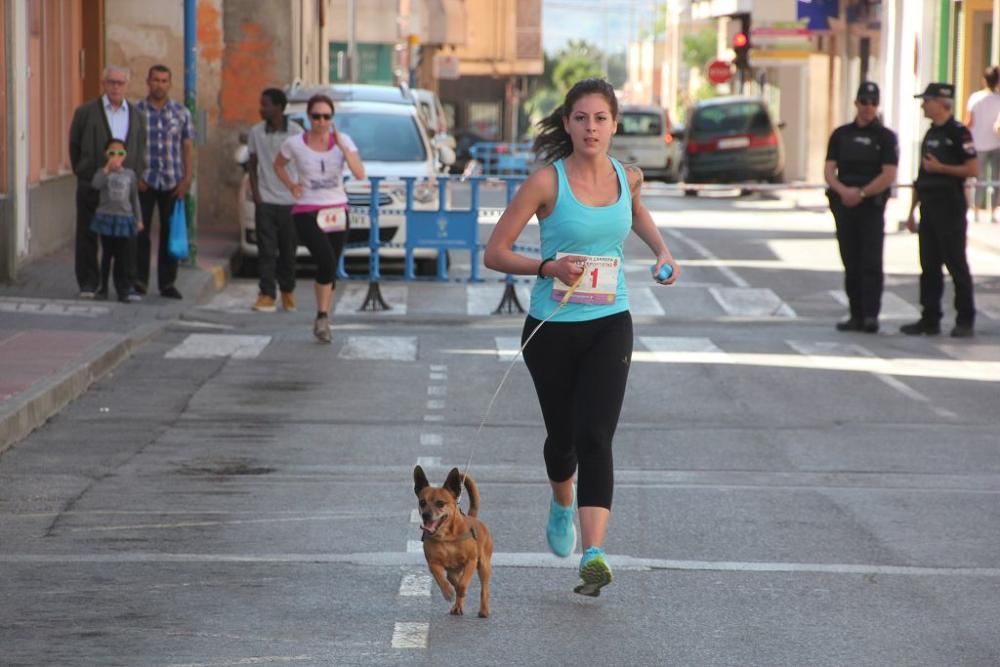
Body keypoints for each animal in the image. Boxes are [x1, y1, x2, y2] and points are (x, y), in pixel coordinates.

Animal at [412, 468, 494, 620]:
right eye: (422, 502)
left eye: (440, 503)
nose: (426, 515)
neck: (446, 538)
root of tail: (473, 517)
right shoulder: (433, 564)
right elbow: (441, 579)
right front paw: (448, 592)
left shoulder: (471, 561)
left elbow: (462, 584)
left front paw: (460, 590)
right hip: (453, 570)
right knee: (452, 578)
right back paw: (457, 605)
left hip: (484, 566)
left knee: (484, 589)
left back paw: (484, 610)